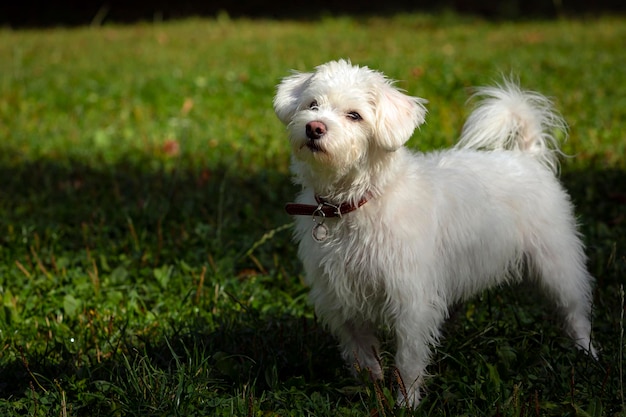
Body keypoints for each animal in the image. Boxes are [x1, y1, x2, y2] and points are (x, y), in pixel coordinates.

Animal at [272, 59, 596, 406]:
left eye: (354, 115)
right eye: (312, 105)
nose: (314, 127)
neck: (356, 203)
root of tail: (527, 156)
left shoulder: (411, 300)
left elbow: (408, 359)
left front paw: (406, 402)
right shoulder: (340, 297)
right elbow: (361, 352)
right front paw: (371, 388)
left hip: (557, 264)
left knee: (576, 311)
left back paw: (586, 354)